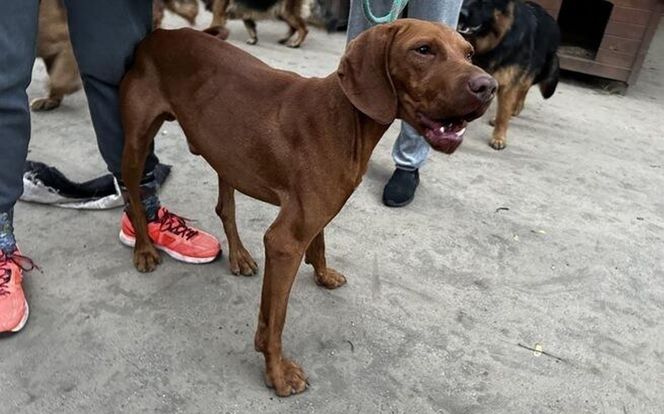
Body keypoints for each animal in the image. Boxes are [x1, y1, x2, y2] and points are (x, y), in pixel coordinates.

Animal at [119, 20, 496, 398]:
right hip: (137, 143)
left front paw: (323, 275)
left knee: (225, 208)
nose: (489, 87)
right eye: (423, 50)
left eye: (469, 53)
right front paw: (277, 373)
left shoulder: (315, 214)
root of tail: (159, 34)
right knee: (133, 194)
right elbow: (276, 319)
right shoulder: (285, 242)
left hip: (225, 153)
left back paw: (239, 256)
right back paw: (144, 250)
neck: (346, 120)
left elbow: (320, 244)